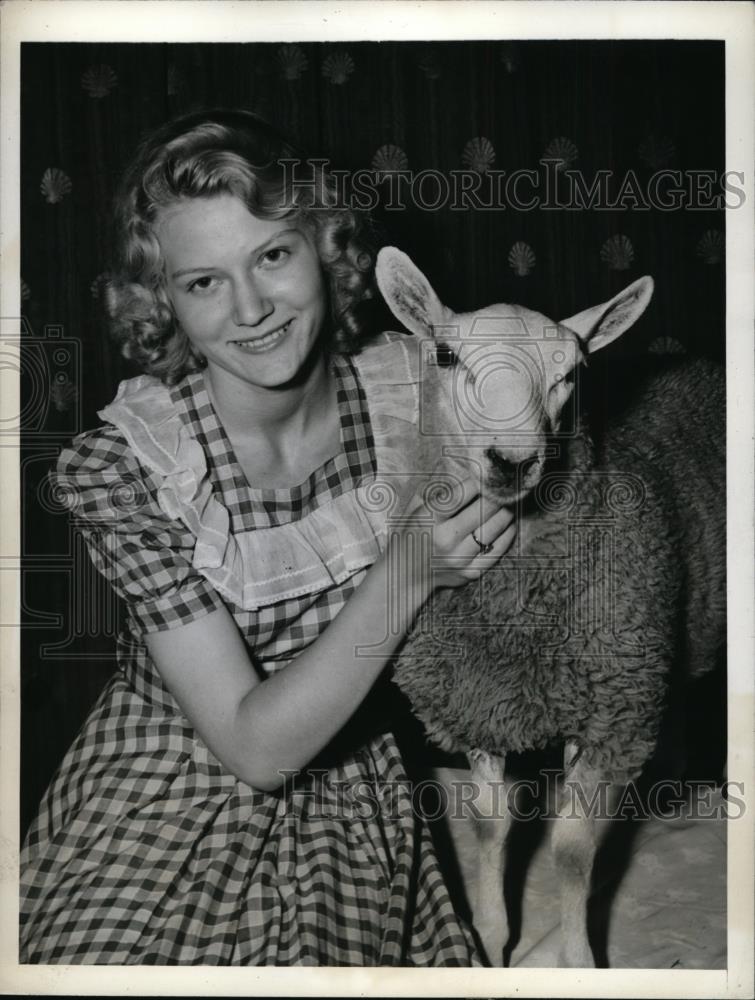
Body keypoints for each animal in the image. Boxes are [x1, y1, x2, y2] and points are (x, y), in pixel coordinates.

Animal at [372, 248, 728, 968]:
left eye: (570, 373)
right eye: (444, 355)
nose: (511, 461)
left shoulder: (611, 714)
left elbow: (569, 853)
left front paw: (576, 960)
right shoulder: (478, 703)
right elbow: (490, 825)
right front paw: (488, 938)